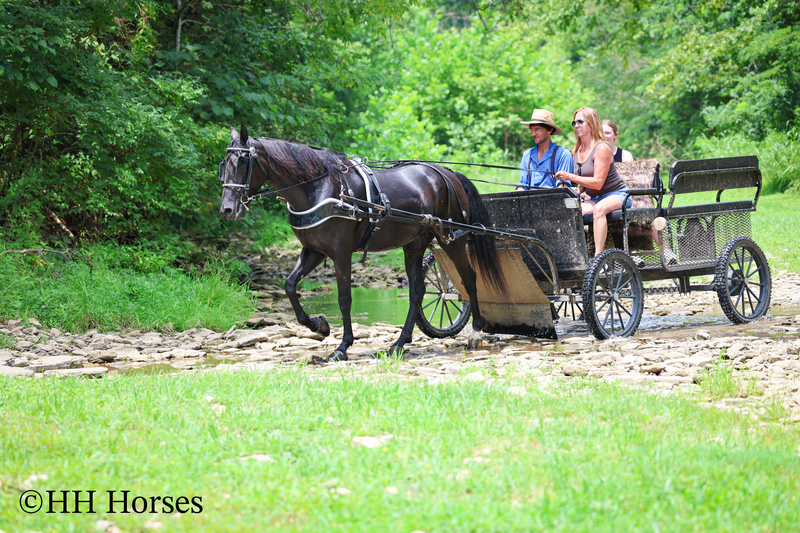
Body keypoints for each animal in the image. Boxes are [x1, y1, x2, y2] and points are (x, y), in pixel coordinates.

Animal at [219, 126, 505, 362]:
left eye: (243, 162)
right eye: (224, 164)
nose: (227, 210)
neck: (319, 188)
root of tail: (447, 173)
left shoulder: (341, 253)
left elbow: (344, 298)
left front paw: (342, 347)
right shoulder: (314, 251)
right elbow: (290, 285)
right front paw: (319, 325)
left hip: (453, 239)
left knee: (469, 278)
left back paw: (475, 332)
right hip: (414, 243)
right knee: (417, 290)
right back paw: (399, 343)